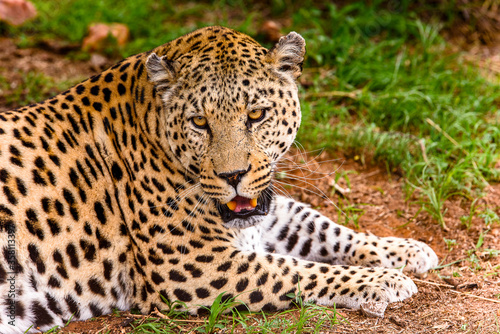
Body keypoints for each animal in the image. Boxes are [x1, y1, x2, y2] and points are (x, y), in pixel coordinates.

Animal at [0, 25, 438, 332]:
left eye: (256, 114)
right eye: (199, 122)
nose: (233, 176)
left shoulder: (262, 207)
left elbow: (321, 227)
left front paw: (406, 250)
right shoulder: (194, 263)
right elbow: (297, 269)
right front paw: (383, 280)